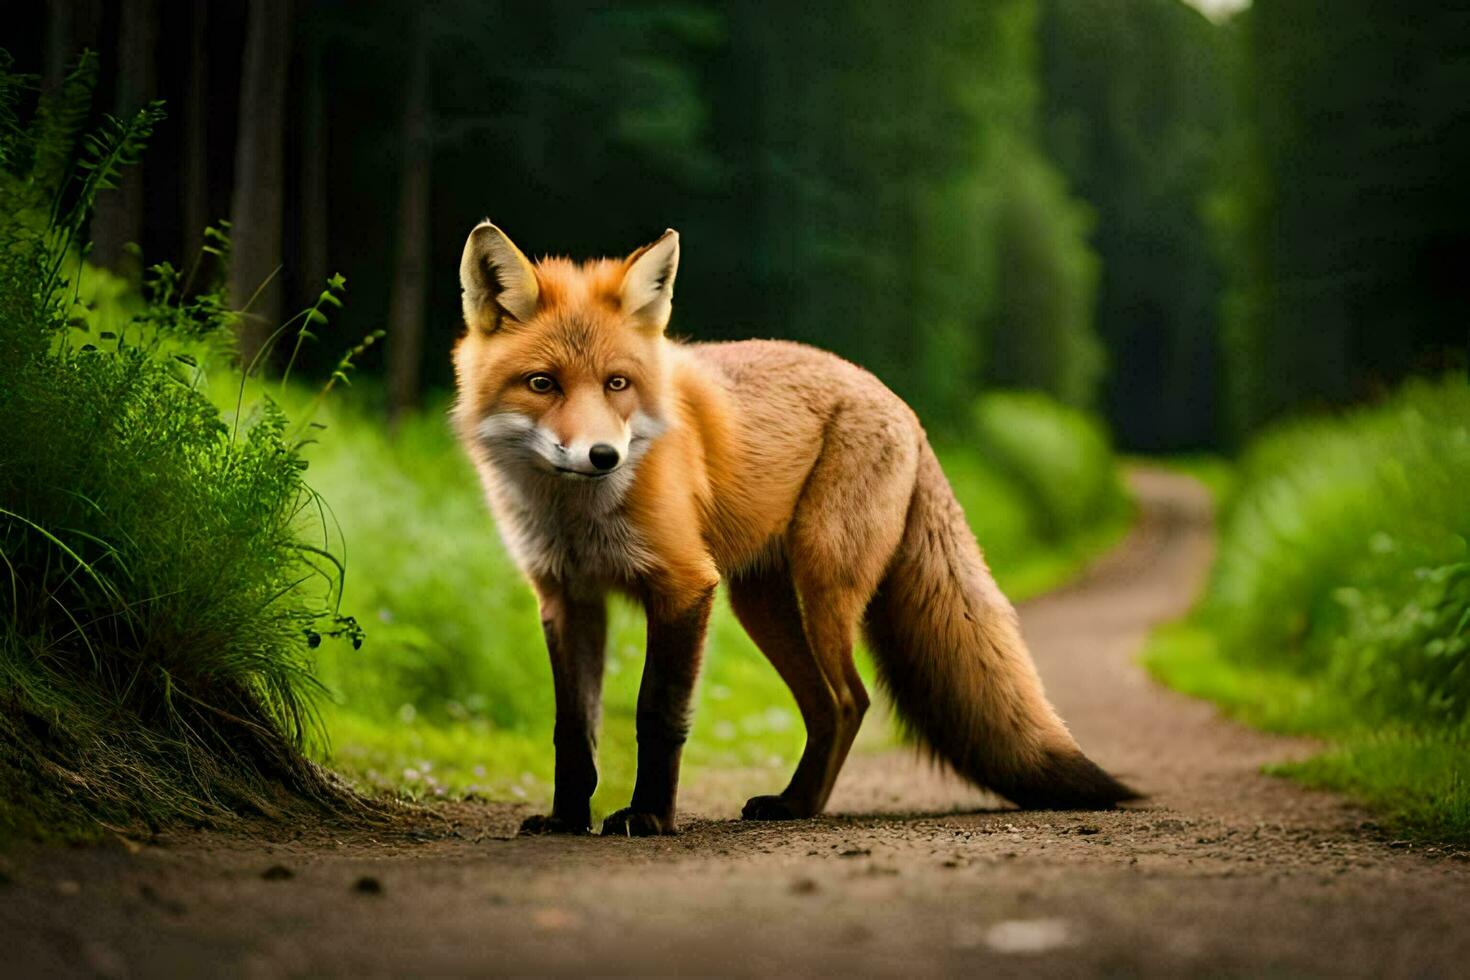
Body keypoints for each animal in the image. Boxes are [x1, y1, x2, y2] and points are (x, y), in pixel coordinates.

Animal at [446, 221, 1134, 834]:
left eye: (617, 384)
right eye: (542, 384)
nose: (602, 457)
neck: (575, 518)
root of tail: (899, 402)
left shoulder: (685, 585)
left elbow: (657, 713)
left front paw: (649, 817)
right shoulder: (568, 598)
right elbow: (572, 729)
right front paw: (567, 819)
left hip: (822, 586)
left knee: (852, 700)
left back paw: (802, 804)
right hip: (762, 606)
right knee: (827, 707)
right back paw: (797, 803)